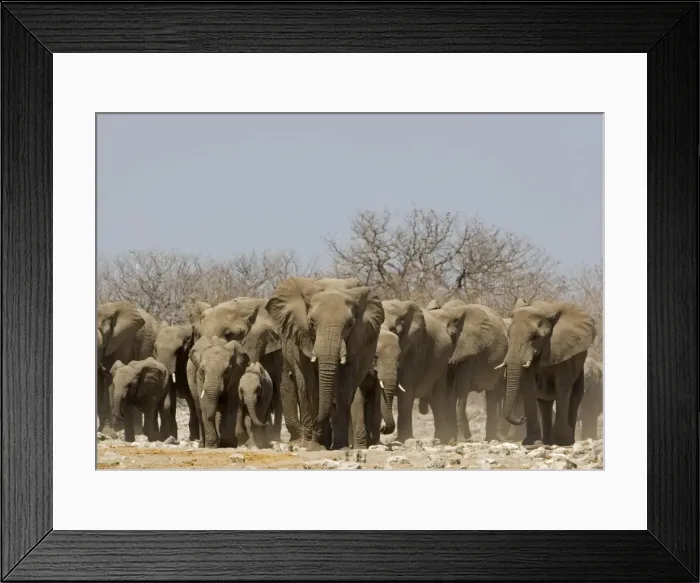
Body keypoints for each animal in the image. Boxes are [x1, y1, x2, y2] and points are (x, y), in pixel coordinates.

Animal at [97, 301, 158, 437]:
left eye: (104, 331)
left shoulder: (121, 342)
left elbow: (108, 378)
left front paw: (109, 433)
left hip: (147, 344)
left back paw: (137, 432)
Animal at [266, 277, 384, 450]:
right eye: (311, 323)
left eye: (350, 325)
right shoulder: (303, 337)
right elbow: (311, 384)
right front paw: (315, 446)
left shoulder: (356, 341)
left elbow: (344, 385)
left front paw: (340, 447)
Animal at [380, 300, 453, 444]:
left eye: (394, 331)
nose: (383, 428)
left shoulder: (415, 347)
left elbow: (406, 394)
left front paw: (403, 440)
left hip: (442, 364)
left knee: (437, 400)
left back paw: (441, 439)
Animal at [427, 300, 509, 443]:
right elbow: (448, 392)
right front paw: (450, 437)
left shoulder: (469, 351)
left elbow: (459, 391)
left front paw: (459, 439)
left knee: (493, 393)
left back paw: (491, 438)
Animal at [502, 300, 596, 446]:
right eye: (508, 335)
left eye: (535, 337)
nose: (522, 418)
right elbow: (529, 386)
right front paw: (532, 442)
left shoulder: (563, 350)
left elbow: (562, 386)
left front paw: (562, 441)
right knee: (544, 404)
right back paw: (547, 442)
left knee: (575, 398)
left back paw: (568, 440)